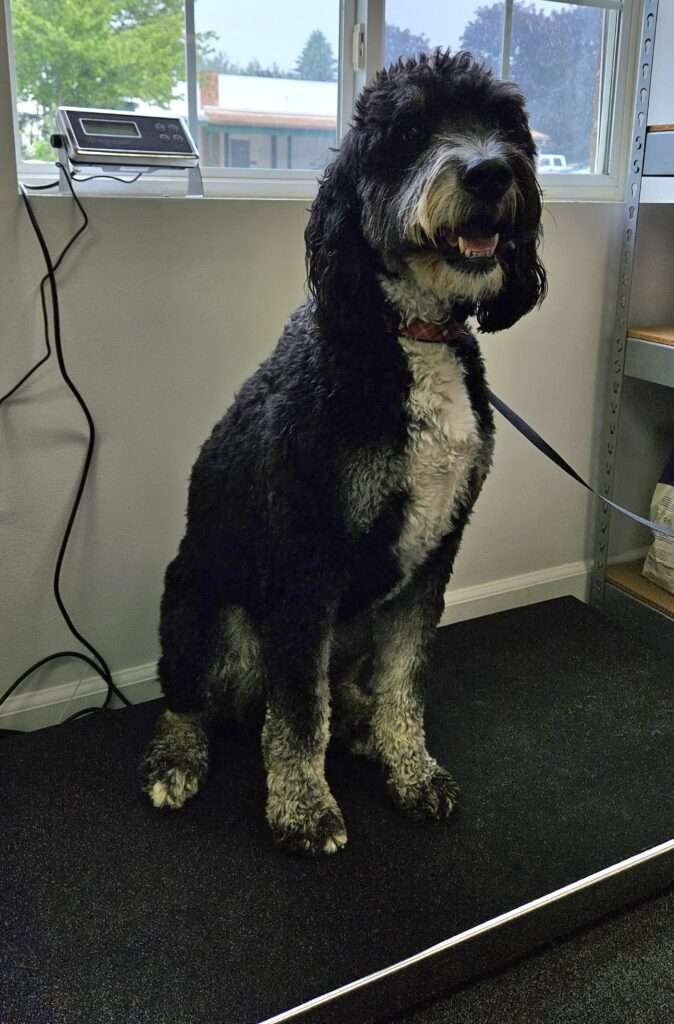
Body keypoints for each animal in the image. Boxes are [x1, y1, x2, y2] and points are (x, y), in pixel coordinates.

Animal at [141, 54, 544, 856]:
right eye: (411, 130)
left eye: (507, 124)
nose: (489, 172)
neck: (410, 332)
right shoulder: (307, 556)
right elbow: (298, 710)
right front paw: (302, 806)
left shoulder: (436, 552)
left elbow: (403, 682)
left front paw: (410, 768)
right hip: (211, 615)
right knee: (191, 700)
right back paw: (179, 756)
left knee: (345, 687)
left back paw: (359, 723)